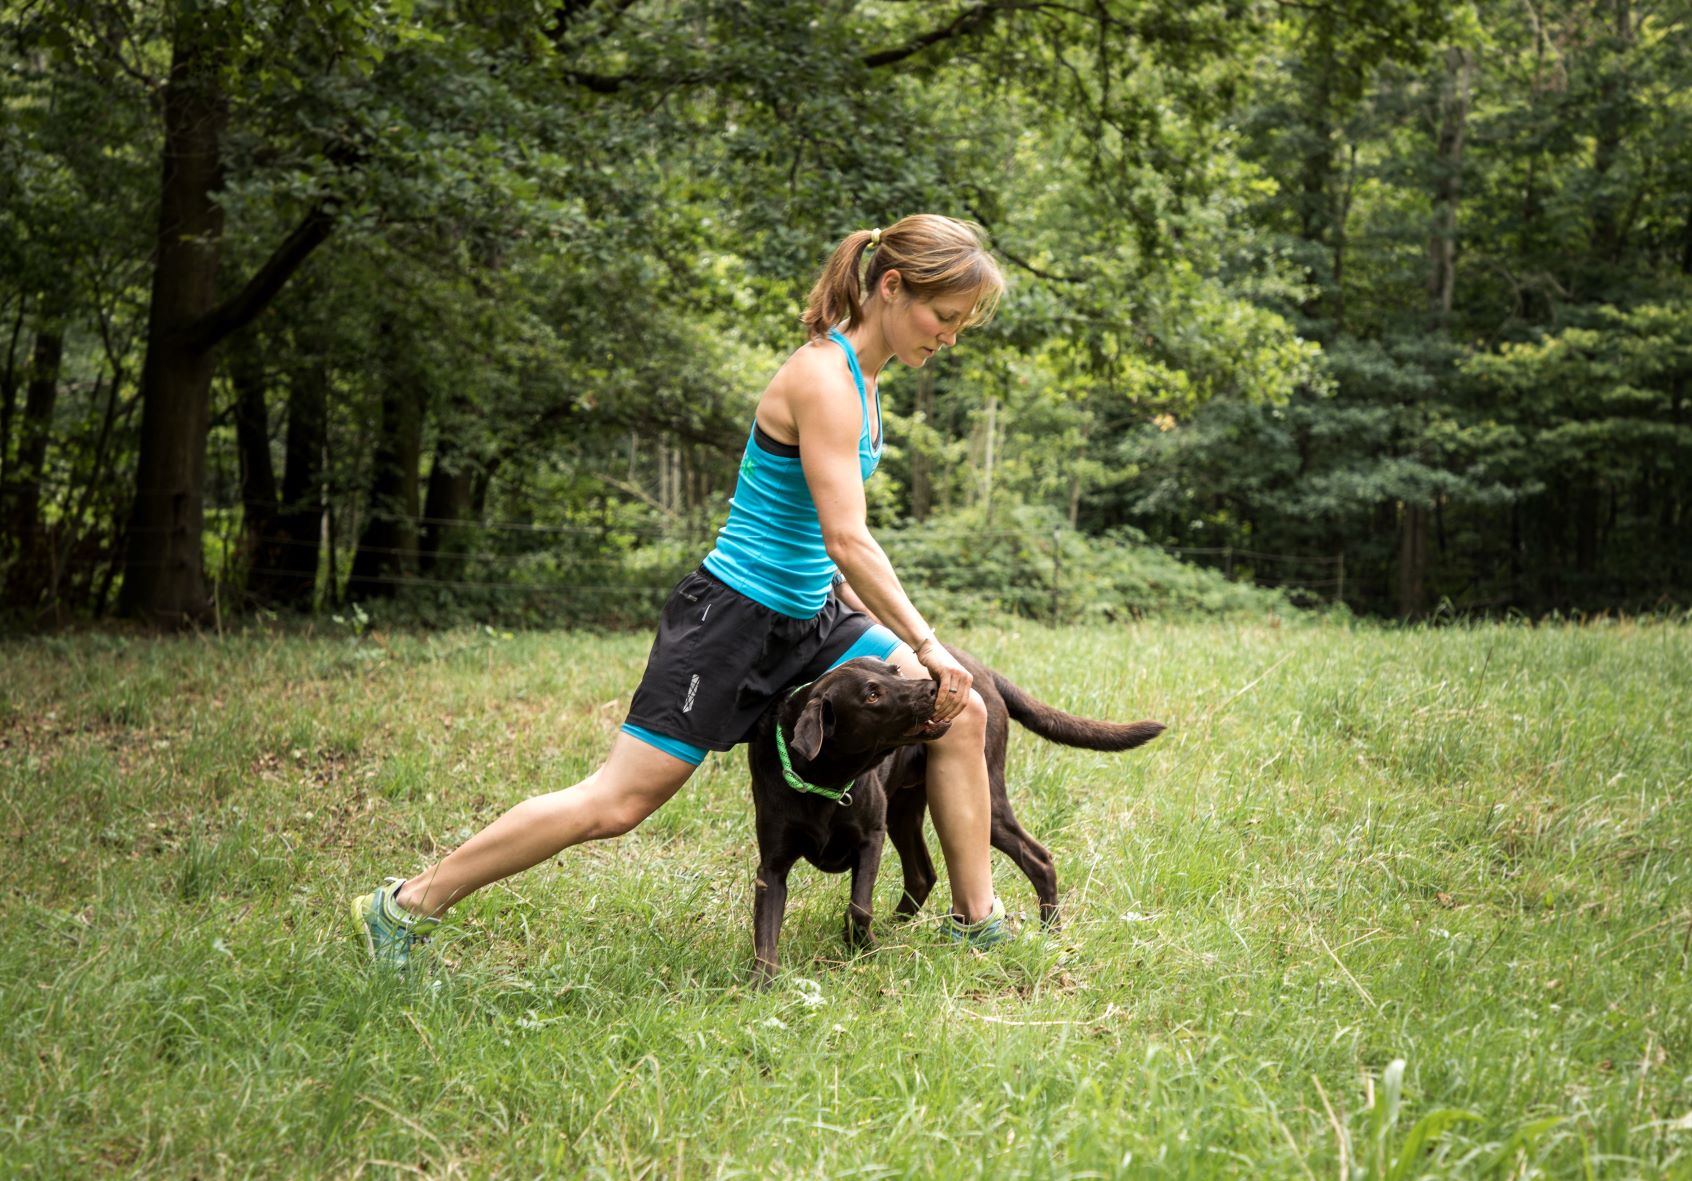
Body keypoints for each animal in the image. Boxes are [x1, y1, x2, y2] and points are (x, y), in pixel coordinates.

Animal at [751, 642, 1164, 974]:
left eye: (895, 670)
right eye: (871, 694)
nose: (936, 685)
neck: (825, 780)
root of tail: (982, 668)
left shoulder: (870, 839)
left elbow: (859, 907)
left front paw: (862, 948)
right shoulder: (772, 866)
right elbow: (765, 931)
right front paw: (763, 985)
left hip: (982, 801)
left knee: (1039, 858)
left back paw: (1051, 934)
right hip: (904, 813)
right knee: (923, 874)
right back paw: (895, 926)